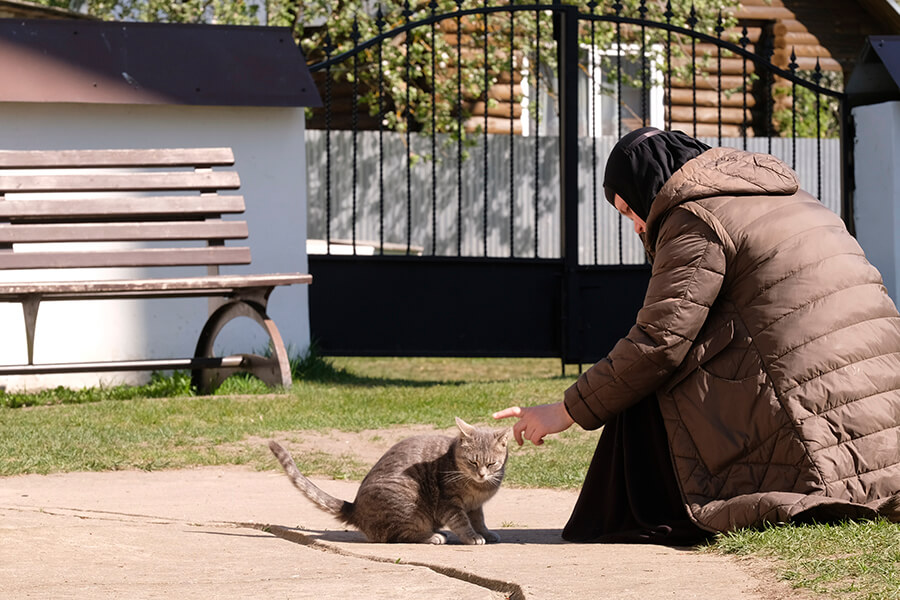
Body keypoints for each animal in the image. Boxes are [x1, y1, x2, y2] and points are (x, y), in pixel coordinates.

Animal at [268, 418, 510, 544]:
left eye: (491, 464)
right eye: (472, 462)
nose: (481, 474)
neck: (478, 487)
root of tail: (355, 508)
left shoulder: (475, 506)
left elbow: (479, 520)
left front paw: (486, 533)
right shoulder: (449, 504)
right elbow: (462, 522)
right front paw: (472, 537)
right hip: (409, 504)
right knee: (399, 535)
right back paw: (433, 536)